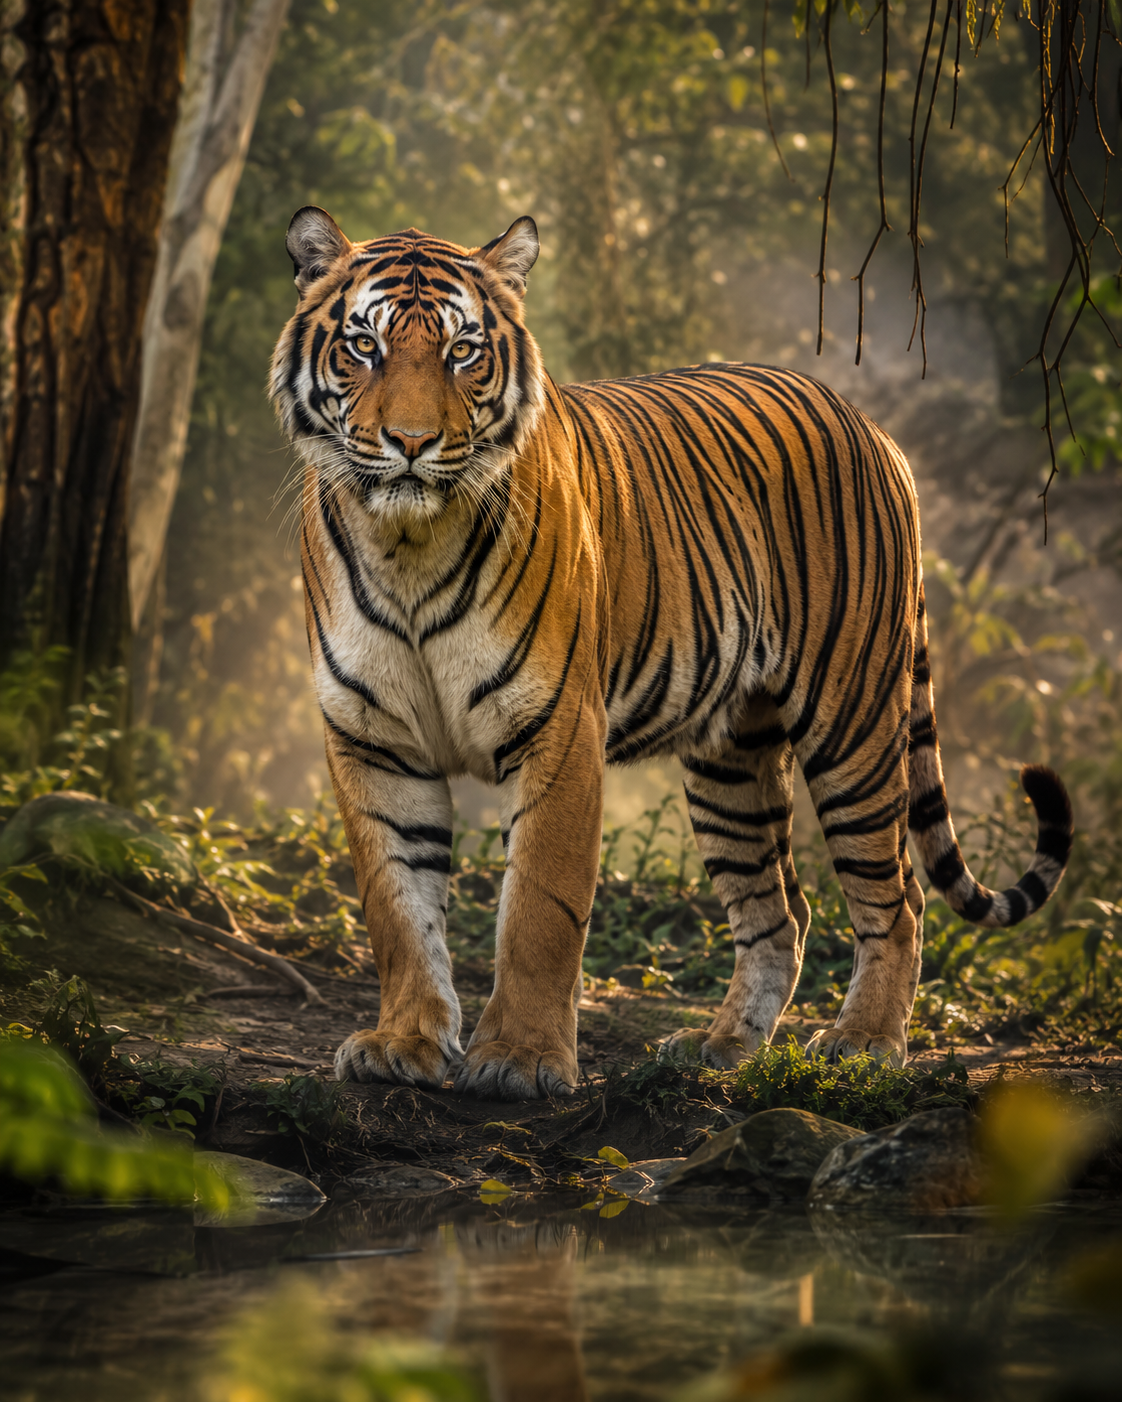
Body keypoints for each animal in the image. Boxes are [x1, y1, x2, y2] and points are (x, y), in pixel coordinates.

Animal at [270, 206, 1073, 1101]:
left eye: (463, 352)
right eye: (364, 346)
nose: (410, 441)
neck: (407, 544)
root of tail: (868, 424)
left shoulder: (558, 730)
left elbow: (540, 908)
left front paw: (519, 1058)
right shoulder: (374, 741)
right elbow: (398, 907)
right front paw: (404, 1044)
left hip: (853, 723)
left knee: (897, 896)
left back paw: (864, 1043)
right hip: (732, 760)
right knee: (779, 912)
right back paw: (722, 1047)